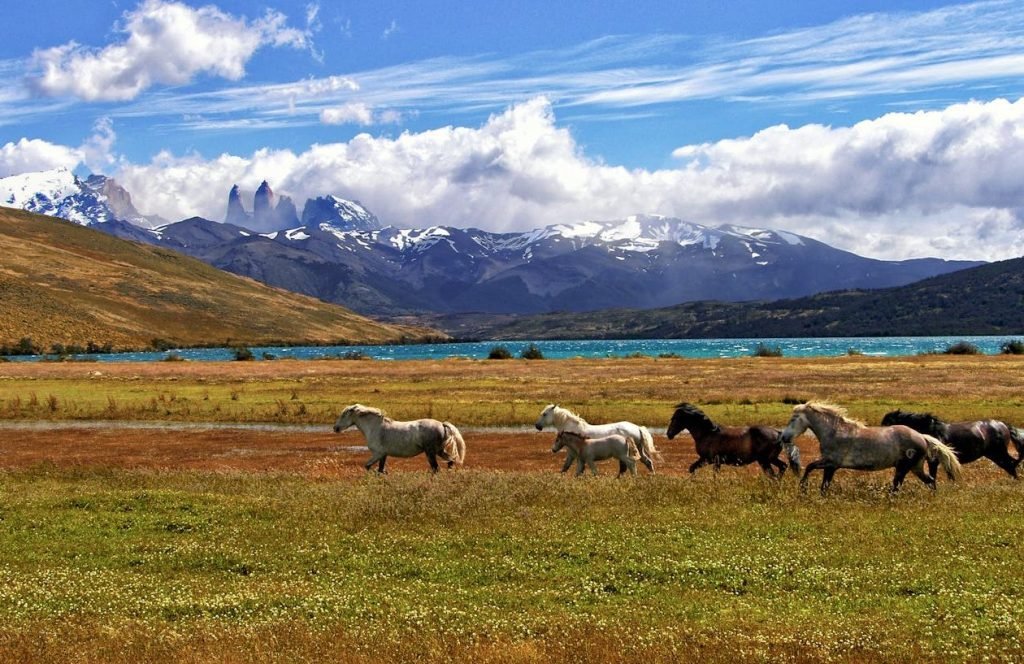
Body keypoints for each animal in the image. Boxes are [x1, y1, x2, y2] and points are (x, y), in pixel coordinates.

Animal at [332, 404, 466, 473]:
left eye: (343, 415)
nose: (335, 428)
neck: (375, 427)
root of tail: (442, 424)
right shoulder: (383, 455)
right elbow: (380, 470)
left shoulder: (378, 454)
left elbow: (368, 466)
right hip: (439, 451)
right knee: (451, 461)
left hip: (430, 452)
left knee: (436, 468)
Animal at [666, 402, 798, 478]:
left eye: (675, 418)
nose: (669, 434)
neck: (707, 434)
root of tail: (778, 433)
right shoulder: (706, 460)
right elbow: (692, 468)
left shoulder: (712, 460)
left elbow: (714, 476)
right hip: (771, 459)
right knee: (783, 467)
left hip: (764, 460)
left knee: (773, 475)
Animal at [780, 402, 962, 493]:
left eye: (793, 419)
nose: (783, 437)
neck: (835, 432)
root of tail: (922, 437)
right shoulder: (830, 466)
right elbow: (823, 484)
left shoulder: (831, 463)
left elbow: (811, 468)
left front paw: (803, 488)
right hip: (915, 467)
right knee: (930, 481)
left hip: (903, 468)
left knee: (897, 486)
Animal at [881, 409, 1021, 479]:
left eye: (888, 424)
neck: (931, 430)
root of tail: (1003, 425)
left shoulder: (934, 461)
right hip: (995, 455)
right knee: (1012, 464)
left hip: (998, 454)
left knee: (1011, 465)